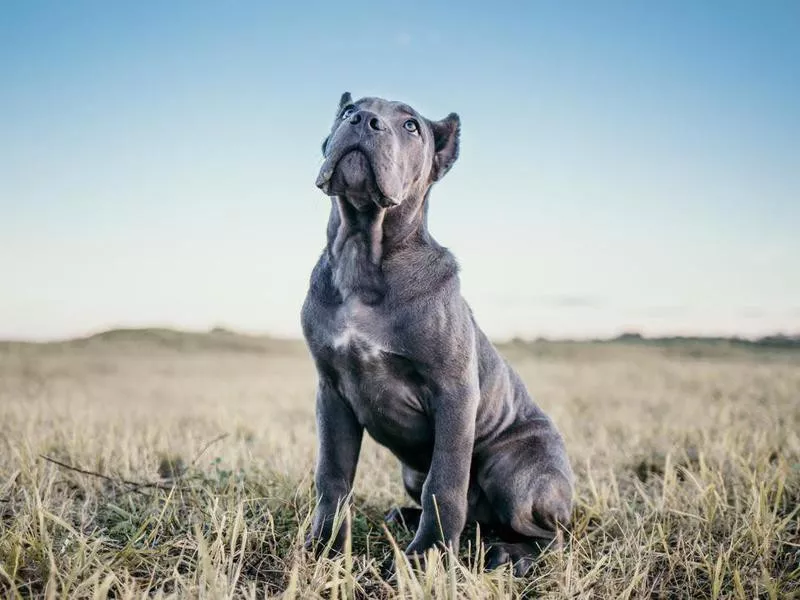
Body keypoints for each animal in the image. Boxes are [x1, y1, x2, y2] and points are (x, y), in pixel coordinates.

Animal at [302, 91, 576, 576]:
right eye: (346, 111)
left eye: (411, 126)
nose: (363, 120)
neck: (363, 252)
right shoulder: (331, 393)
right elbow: (332, 475)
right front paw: (325, 548)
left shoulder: (454, 393)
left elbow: (444, 483)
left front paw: (425, 558)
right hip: (411, 470)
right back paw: (407, 516)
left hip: (515, 473)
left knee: (553, 536)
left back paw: (511, 554)